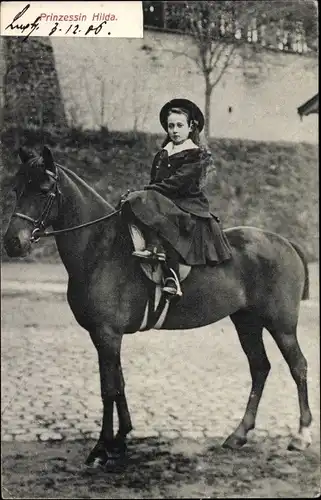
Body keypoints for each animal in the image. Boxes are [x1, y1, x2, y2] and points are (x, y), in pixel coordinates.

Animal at [2, 146, 312, 468]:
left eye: (43, 190)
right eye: (16, 189)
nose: (12, 243)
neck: (101, 249)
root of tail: (285, 241)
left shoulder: (107, 334)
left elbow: (108, 388)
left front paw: (101, 447)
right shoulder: (107, 337)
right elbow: (119, 383)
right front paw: (121, 438)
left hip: (281, 325)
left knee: (298, 366)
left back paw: (301, 435)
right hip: (246, 322)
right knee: (260, 368)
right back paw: (239, 434)